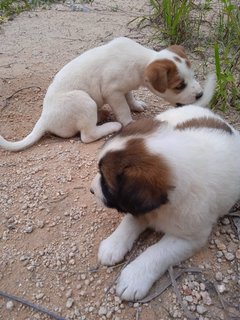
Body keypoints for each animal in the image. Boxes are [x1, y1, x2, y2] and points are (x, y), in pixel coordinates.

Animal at [0, 36, 203, 151]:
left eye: (193, 76)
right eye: (180, 85)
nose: (200, 94)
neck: (142, 61)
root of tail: (44, 119)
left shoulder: (124, 89)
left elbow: (130, 97)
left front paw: (136, 105)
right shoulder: (113, 92)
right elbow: (123, 110)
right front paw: (129, 123)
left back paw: (103, 115)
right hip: (85, 101)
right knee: (87, 135)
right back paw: (111, 125)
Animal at [90, 98, 240, 302]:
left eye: (105, 181)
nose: (91, 190)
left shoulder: (189, 237)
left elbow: (156, 252)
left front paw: (134, 276)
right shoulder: (139, 208)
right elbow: (128, 222)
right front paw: (113, 244)